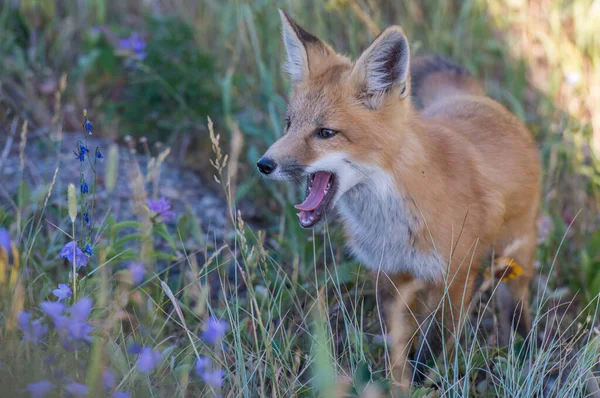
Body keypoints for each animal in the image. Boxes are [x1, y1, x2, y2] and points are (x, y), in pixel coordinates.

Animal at [256, 10, 540, 388]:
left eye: (325, 133)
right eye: (289, 124)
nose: (264, 164)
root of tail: (475, 101)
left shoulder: (456, 277)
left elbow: (433, 349)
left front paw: (423, 385)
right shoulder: (388, 273)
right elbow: (397, 344)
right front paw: (395, 381)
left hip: (514, 258)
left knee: (516, 307)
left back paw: (523, 351)